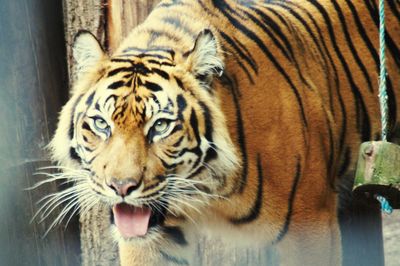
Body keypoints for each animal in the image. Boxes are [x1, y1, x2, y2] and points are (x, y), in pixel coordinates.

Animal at [48, 0, 398, 264]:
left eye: (160, 126)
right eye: (101, 124)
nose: (121, 187)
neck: (205, 189)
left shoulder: (309, 223)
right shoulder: (150, 239)